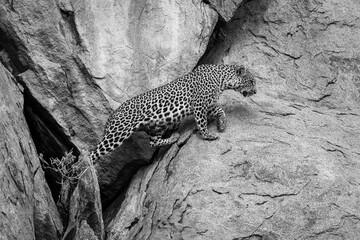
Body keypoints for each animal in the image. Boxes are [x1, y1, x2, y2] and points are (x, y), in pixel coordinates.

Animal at [91, 63, 258, 162]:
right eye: (251, 81)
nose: (256, 91)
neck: (222, 80)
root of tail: (111, 116)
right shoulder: (199, 104)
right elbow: (202, 123)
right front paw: (208, 135)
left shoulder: (206, 104)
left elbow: (220, 110)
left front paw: (222, 125)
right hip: (118, 133)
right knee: (93, 153)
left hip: (157, 124)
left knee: (153, 142)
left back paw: (174, 137)